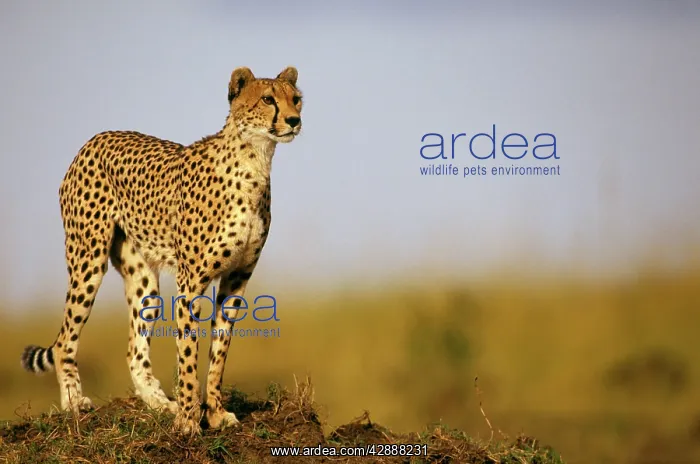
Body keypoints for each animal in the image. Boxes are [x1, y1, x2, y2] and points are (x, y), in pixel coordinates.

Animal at [20, 66, 303, 435]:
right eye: (268, 99)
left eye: (296, 99)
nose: (295, 120)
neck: (254, 161)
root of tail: (95, 138)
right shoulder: (192, 281)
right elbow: (188, 352)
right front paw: (188, 421)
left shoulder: (236, 279)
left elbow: (218, 353)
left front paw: (214, 412)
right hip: (87, 260)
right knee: (66, 338)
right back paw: (74, 403)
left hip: (144, 284)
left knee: (133, 349)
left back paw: (157, 402)